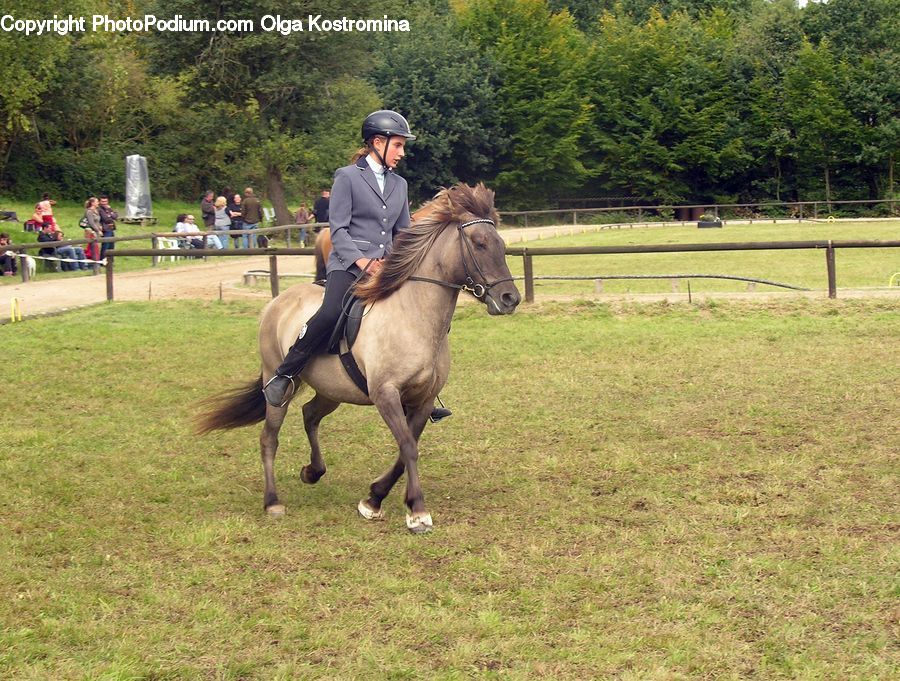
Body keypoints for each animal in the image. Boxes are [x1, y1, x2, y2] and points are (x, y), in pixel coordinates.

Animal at [197, 183, 521, 533]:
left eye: (501, 245)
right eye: (479, 243)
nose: (510, 299)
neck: (414, 315)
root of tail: (277, 302)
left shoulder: (422, 399)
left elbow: (406, 448)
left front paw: (374, 498)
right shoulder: (386, 394)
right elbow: (408, 446)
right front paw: (417, 512)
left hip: (331, 390)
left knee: (310, 415)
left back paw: (313, 471)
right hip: (278, 382)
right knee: (269, 437)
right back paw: (272, 501)